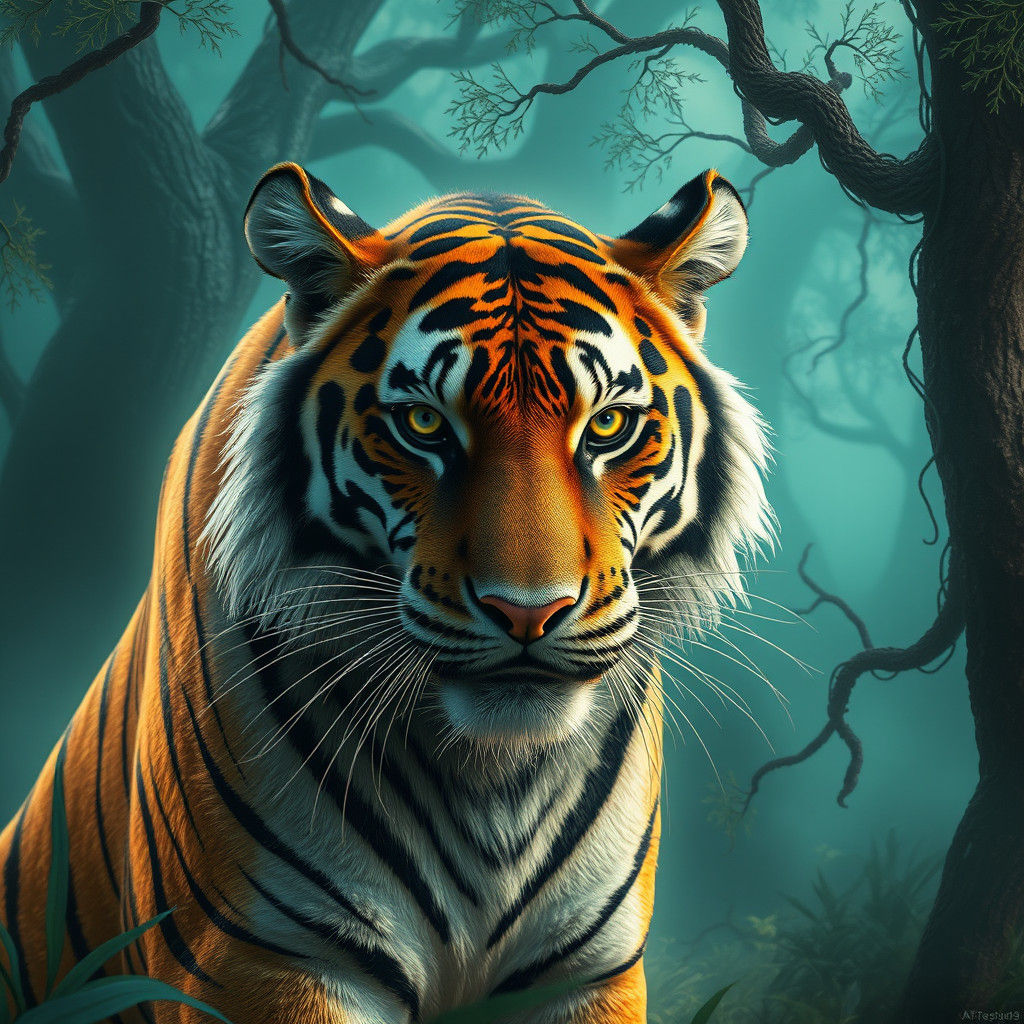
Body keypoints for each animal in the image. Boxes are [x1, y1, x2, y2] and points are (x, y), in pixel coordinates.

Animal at [0, 162, 771, 1023]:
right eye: (423, 425)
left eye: (607, 426)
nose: (529, 612)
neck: (492, 778)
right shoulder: (260, 959)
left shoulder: (587, 969)